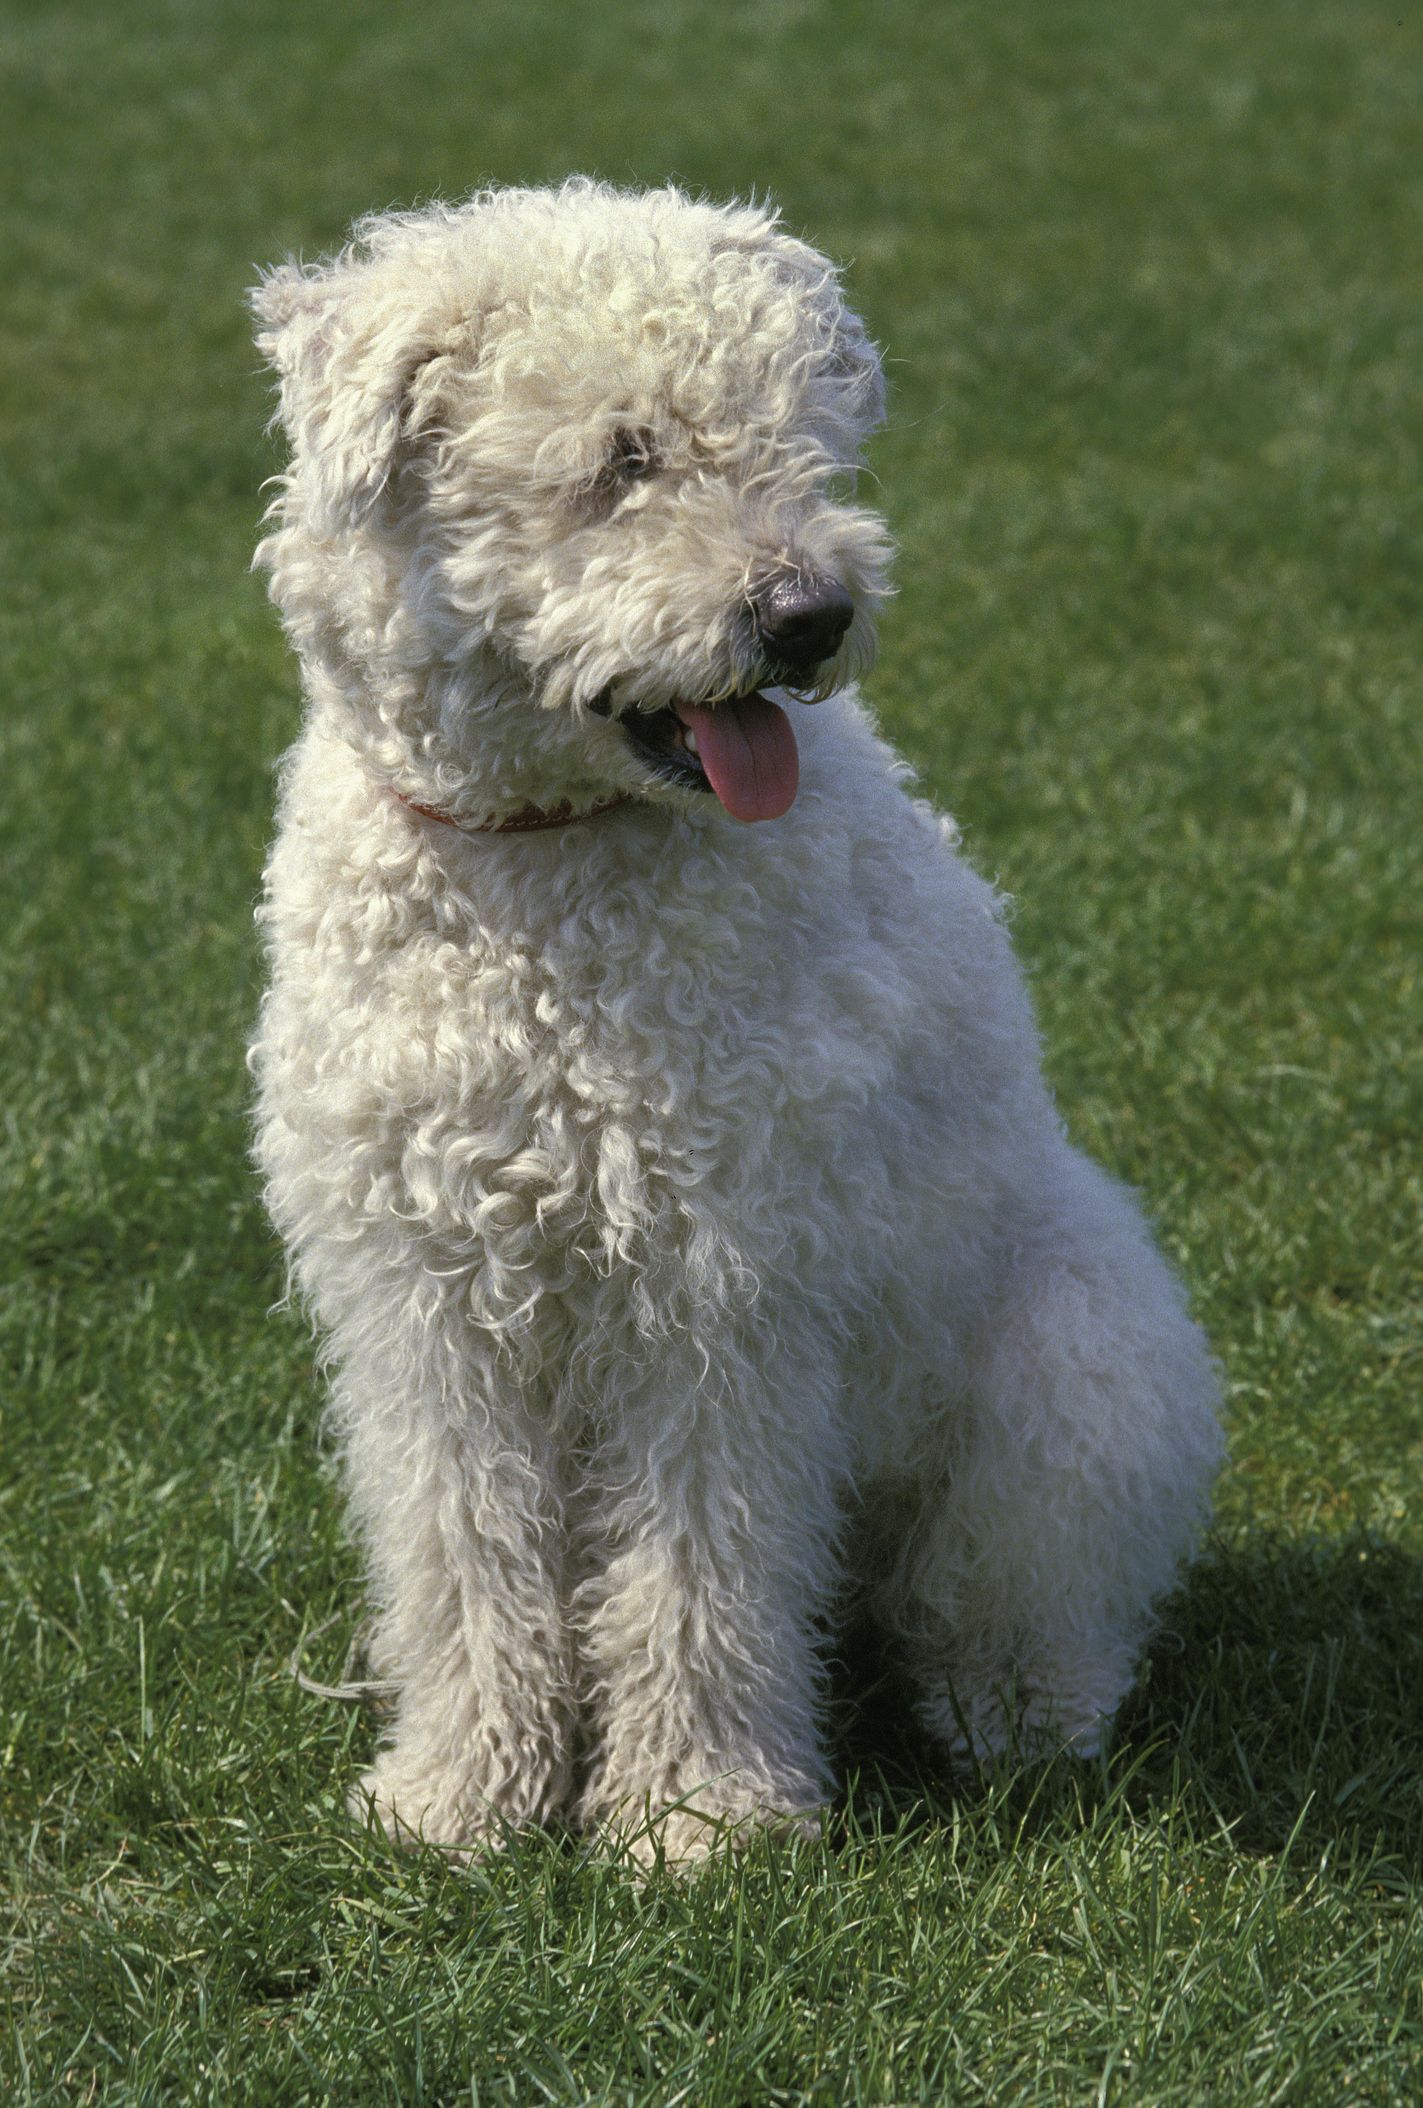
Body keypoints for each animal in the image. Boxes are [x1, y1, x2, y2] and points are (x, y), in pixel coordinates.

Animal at [250, 181, 1222, 1863]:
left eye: (800, 442)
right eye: (622, 456)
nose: (810, 616)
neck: (543, 875)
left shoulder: (717, 1291)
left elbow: (698, 1571)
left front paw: (691, 1822)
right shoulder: (429, 1300)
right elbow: (463, 1555)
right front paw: (463, 1801)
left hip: (1073, 1362)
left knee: (1019, 1605)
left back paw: (1013, 1720)